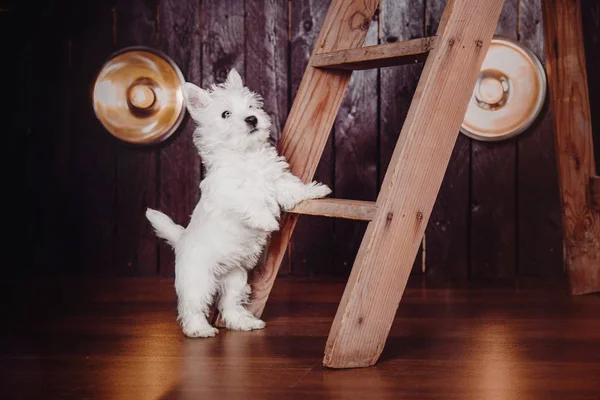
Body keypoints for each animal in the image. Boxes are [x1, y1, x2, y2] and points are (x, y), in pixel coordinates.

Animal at [147, 69, 330, 338]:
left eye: (251, 106)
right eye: (226, 114)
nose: (252, 119)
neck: (245, 154)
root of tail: (181, 241)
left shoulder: (275, 177)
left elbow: (291, 186)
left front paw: (314, 191)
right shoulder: (229, 192)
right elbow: (250, 200)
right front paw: (267, 220)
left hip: (236, 278)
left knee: (230, 304)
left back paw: (245, 322)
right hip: (198, 279)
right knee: (193, 307)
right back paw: (200, 329)